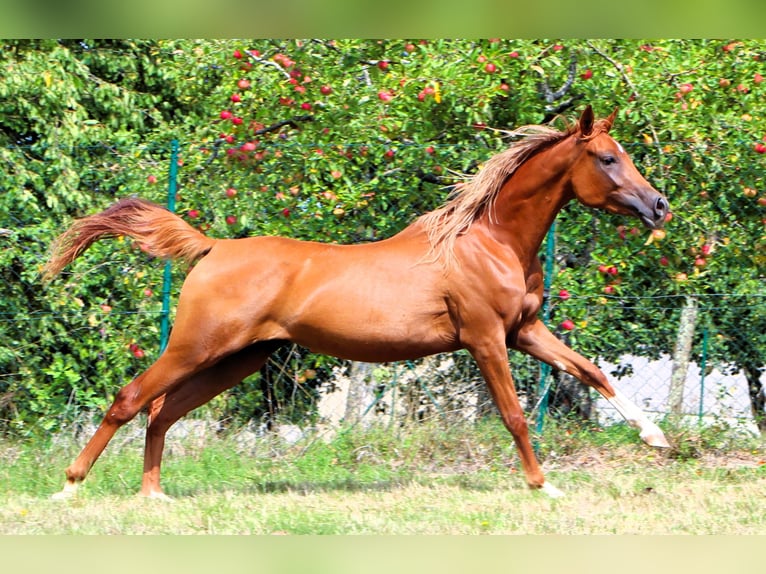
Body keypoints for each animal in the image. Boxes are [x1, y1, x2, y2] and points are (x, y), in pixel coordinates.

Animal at [44, 105, 670, 500]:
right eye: (607, 158)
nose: (659, 205)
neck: (489, 240)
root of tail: (213, 247)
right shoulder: (486, 339)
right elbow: (516, 415)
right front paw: (544, 485)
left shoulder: (525, 331)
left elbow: (591, 372)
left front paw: (656, 438)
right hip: (197, 347)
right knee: (131, 400)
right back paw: (69, 487)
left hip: (238, 358)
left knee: (162, 411)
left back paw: (154, 495)